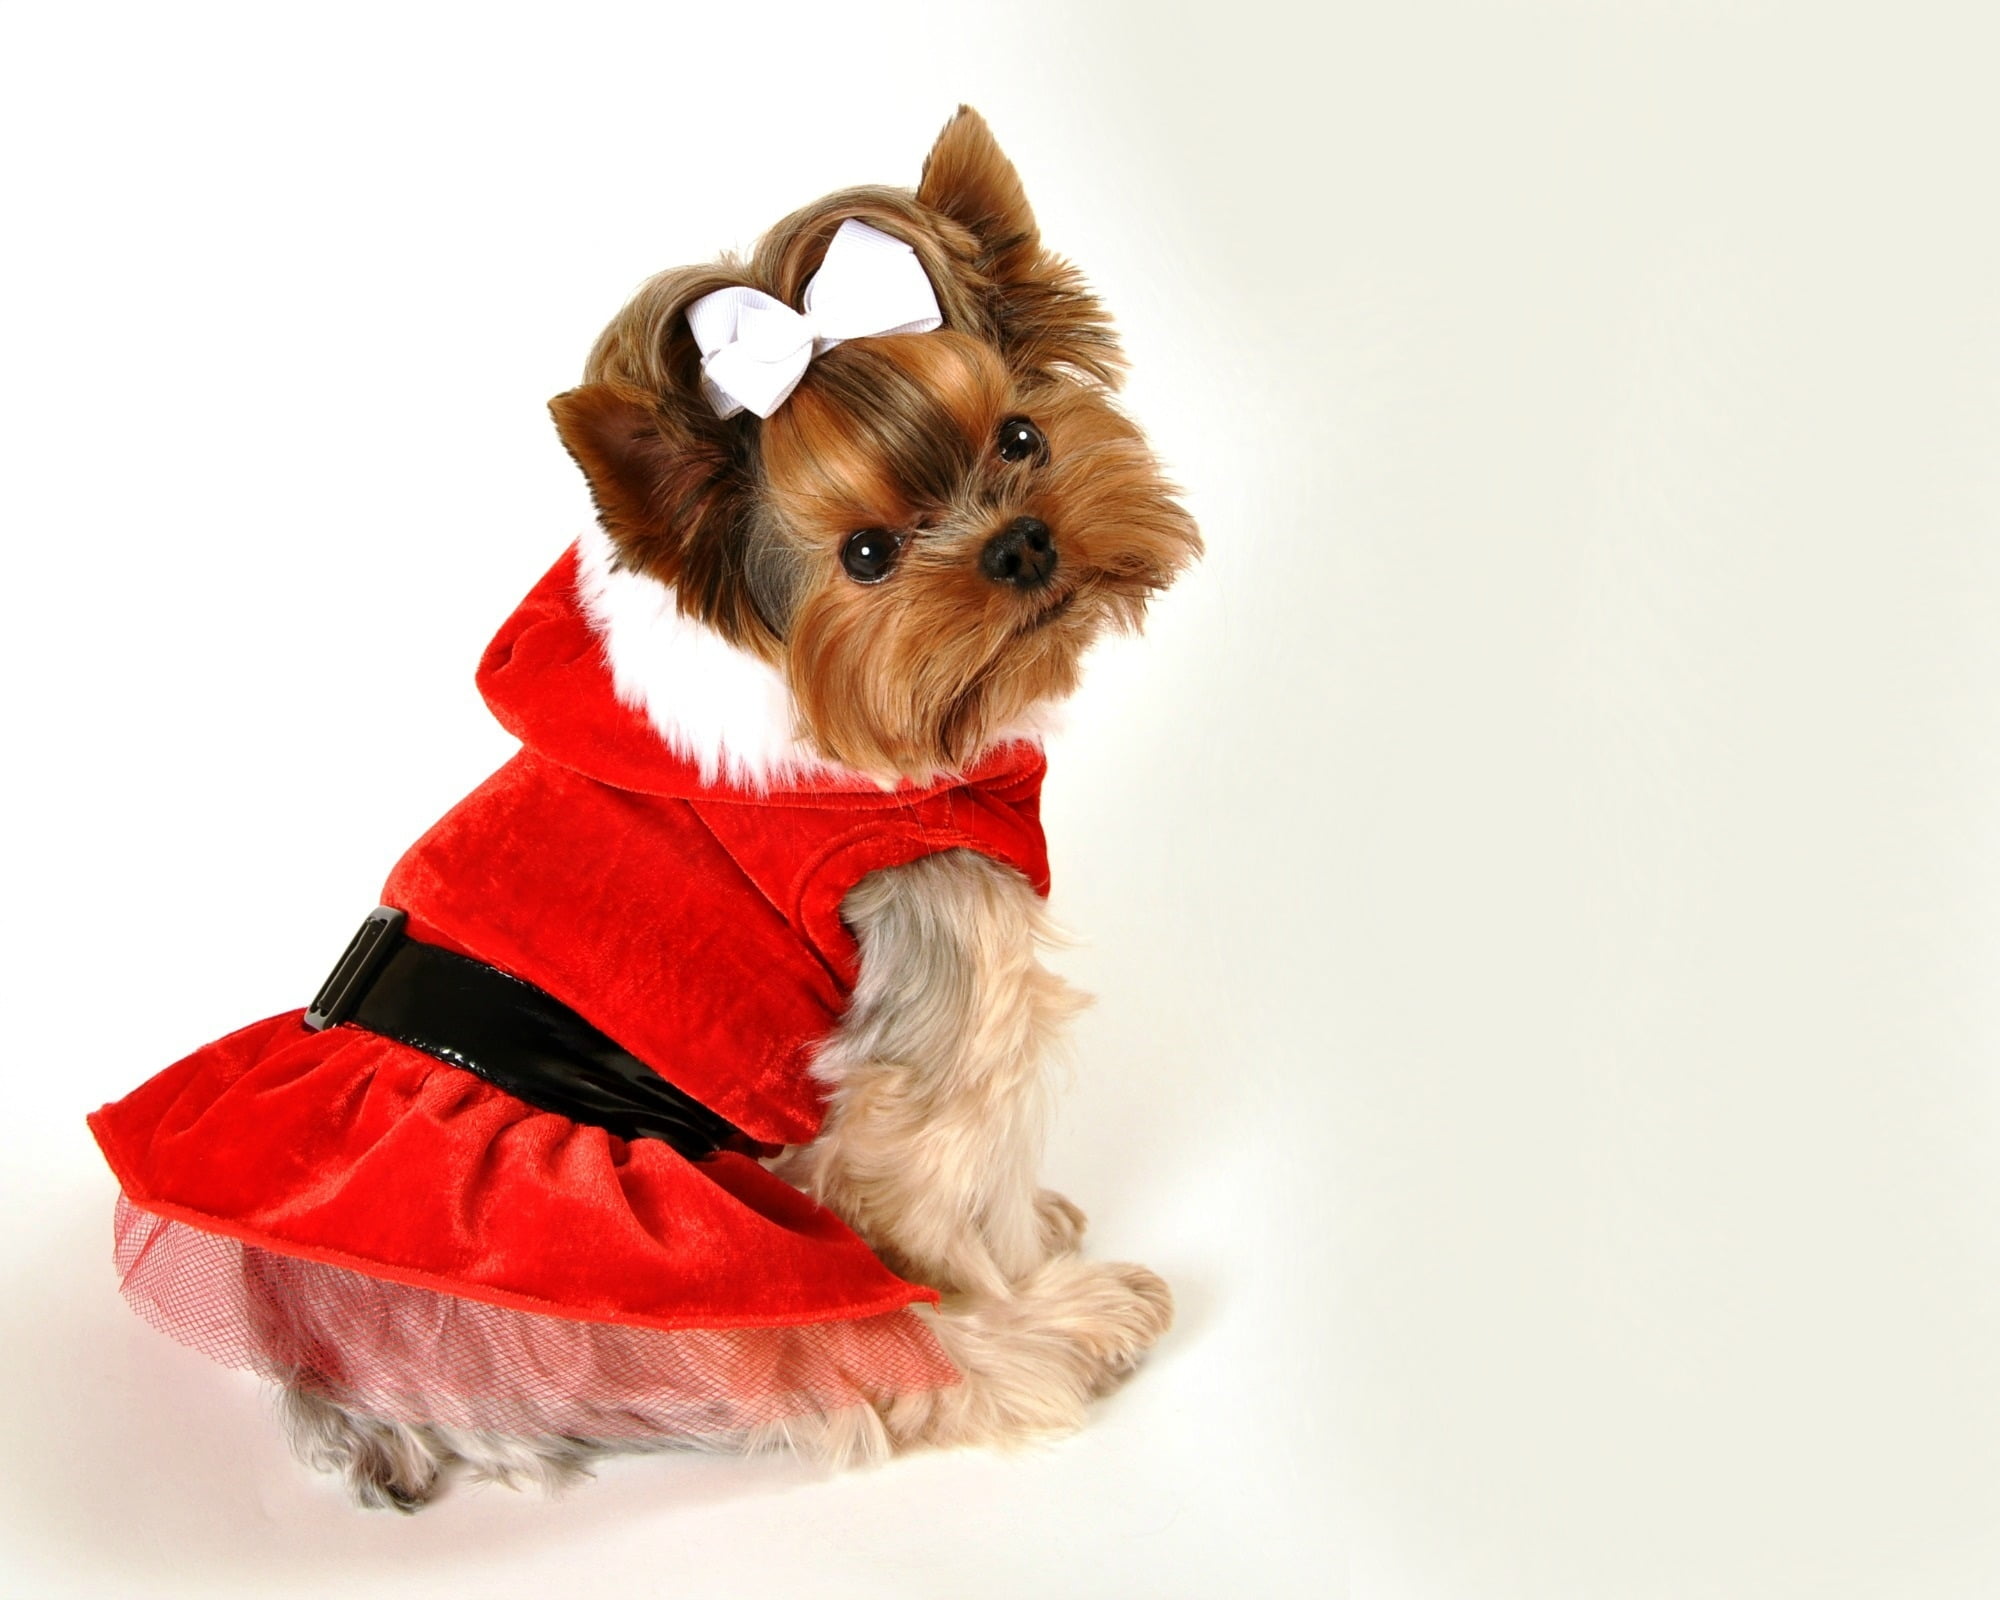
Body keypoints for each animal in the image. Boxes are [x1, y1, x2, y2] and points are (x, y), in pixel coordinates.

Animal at [86, 106, 1192, 1504]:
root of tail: (334, 1370)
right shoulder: (936, 987)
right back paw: (1055, 1338)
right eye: (866, 554)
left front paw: (1034, 1229)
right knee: (847, 1357)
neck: (829, 736)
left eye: (1019, 438)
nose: (1021, 543)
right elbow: (933, 1192)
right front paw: (1014, 1280)